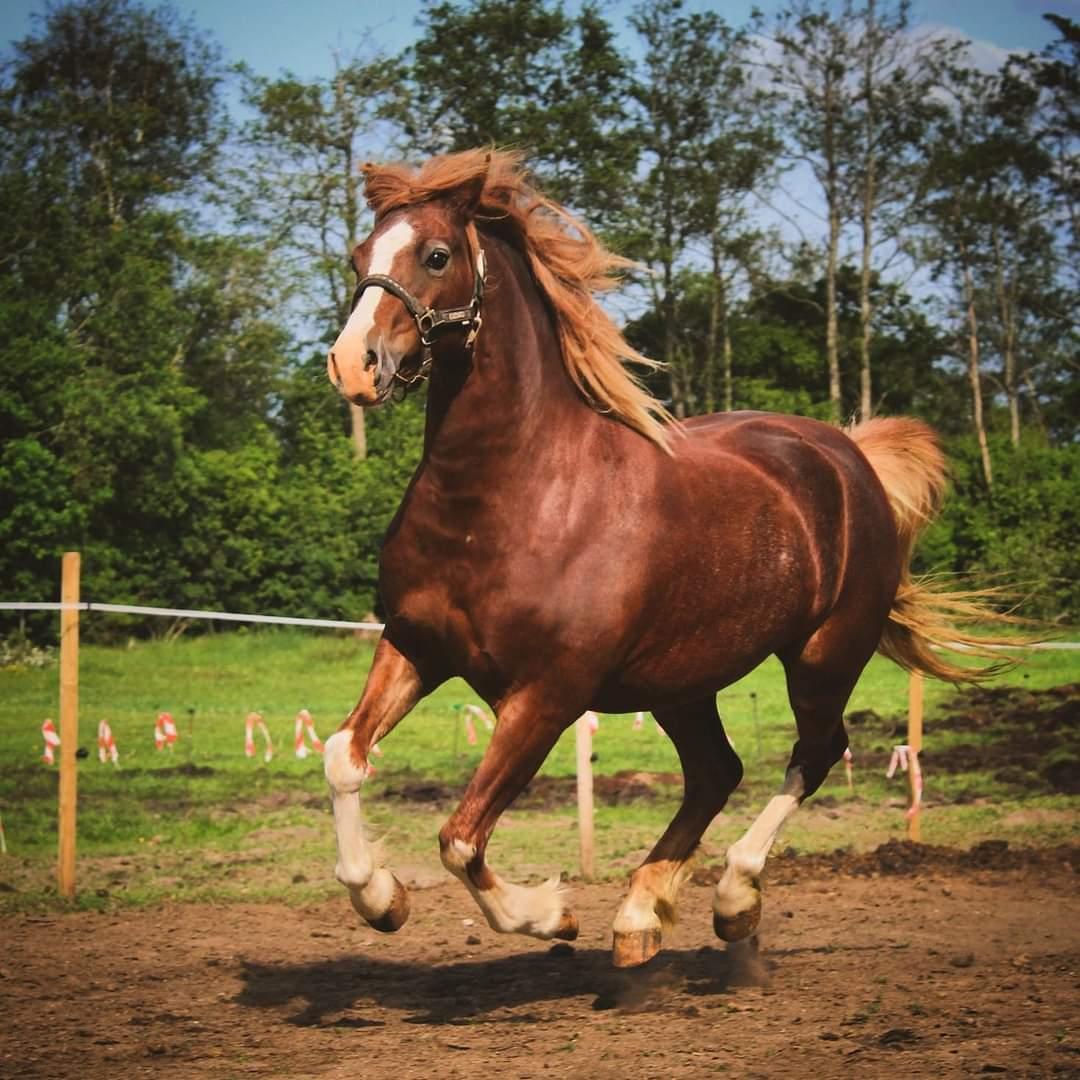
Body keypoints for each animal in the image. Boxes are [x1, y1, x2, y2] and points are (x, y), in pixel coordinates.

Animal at [321, 147, 1002, 967]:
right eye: (359, 254)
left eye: (436, 255)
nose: (351, 365)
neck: (509, 499)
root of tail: (849, 457)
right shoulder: (414, 645)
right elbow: (343, 756)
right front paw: (380, 899)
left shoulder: (547, 694)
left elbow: (460, 838)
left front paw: (552, 914)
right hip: (682, 682)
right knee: (716, 771)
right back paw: (639, 917)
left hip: (823, 656)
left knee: (814, 752)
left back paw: (734, 902)